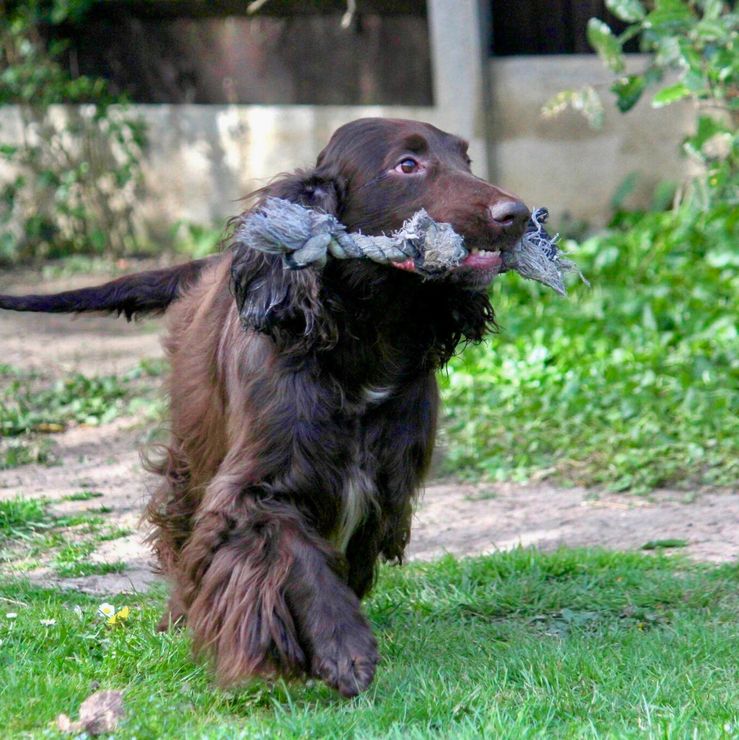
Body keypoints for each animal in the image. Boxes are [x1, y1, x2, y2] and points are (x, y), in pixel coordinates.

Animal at [2, 118, 528, 696]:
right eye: (407, 165)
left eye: (466, 159)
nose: (519, 215)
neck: (360, 343)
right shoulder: (259, 484)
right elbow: (294, 554)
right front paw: (343, 649)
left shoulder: (383, 482)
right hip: (194, 444)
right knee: (182, 527)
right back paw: (180, 614)